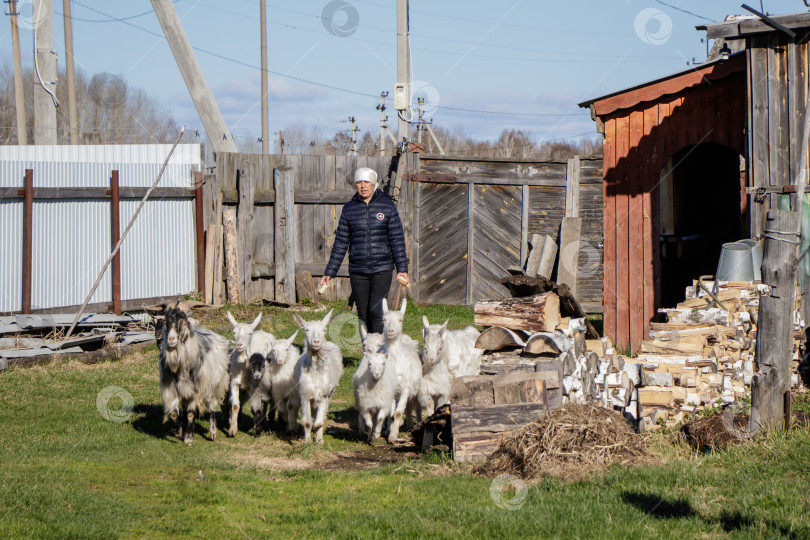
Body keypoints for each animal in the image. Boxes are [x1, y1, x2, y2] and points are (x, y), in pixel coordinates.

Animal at [158, 306, 229, 446]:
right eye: (167, 323)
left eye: (183, 323)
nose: (171, 339)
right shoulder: (171, 390)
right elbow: (173, 413)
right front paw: (179, 433)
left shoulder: (196, 391)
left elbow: (191, 413)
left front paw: (189, 437)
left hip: (213, 385)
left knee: (212, 407)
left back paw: (213, 432)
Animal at [292, 310, 342, 446]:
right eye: (306, 329)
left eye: (324, 329)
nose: (316, 342)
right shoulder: (304, 395)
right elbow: (307, 422)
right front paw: (307, 441)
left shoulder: (324, 395)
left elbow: (319, 422)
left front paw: (319, 439)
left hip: (331, 393)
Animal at [382, 298, 422, 440]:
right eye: (384, 319)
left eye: (400, 320)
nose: (390, 331)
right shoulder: (392, 390)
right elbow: (391, 414)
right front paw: (390, 431)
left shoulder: (405, 388)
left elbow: (398, 413)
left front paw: (393, 436)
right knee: (408, 407)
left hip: (415, 389)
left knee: (415, 407)